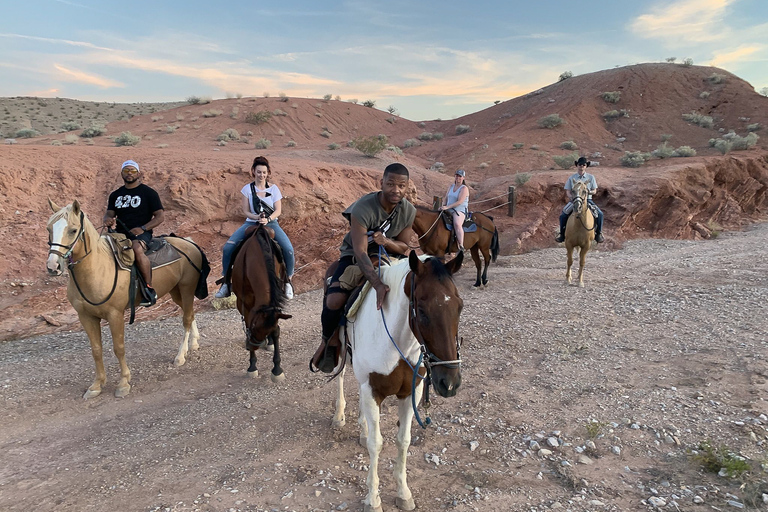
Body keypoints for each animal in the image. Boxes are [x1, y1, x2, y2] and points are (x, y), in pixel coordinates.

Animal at [48, 200, 210, 400]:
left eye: (72, 230)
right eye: (49, 229)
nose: (53, 266)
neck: (98, 269)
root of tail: (188, 242)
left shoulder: (115, 315)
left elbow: (119, 348)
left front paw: (124, 383)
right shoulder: (86, 317)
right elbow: (96, 350)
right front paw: (96, 385)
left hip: (186, 288)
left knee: (186, 319)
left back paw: (180, 356)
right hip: (175, 292)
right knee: (190, 313)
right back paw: (194, 343)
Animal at [230, 224, 292, 380]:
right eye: (254, 327)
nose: (252, 346)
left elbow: (276, 331)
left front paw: (277, 369)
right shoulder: (243, 304)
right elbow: (246, 323)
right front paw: (252, 366)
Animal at [330, 252, 462, 512]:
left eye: (459, 307)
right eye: (421, 310)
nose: (450, 383)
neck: (395, 341)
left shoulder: (411, 392)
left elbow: (403, 440)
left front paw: (403, 493)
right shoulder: (373, 390)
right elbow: (376, 443)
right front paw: (372, 499)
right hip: (341, 351)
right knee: (340, 376)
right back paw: (340, 415)